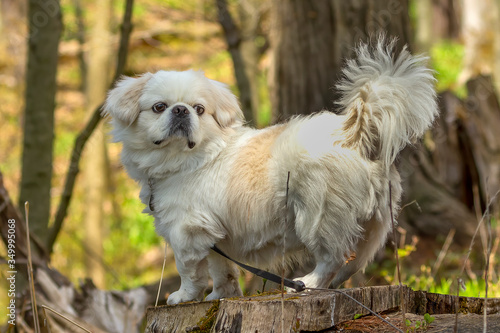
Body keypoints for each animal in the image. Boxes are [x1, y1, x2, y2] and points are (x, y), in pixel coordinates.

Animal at [104, 39, 438, 304]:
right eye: (159, 107)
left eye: (199, 109)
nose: (181, 110)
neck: (186, 160)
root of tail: (354, 135)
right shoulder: (212, 237)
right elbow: (222, 271)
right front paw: (220, 296)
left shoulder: (186, 232)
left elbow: (189, 271)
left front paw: (183, 297)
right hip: (376, 224)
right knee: (352, 264)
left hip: (316, 216)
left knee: (332, 257)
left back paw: (308, 284)